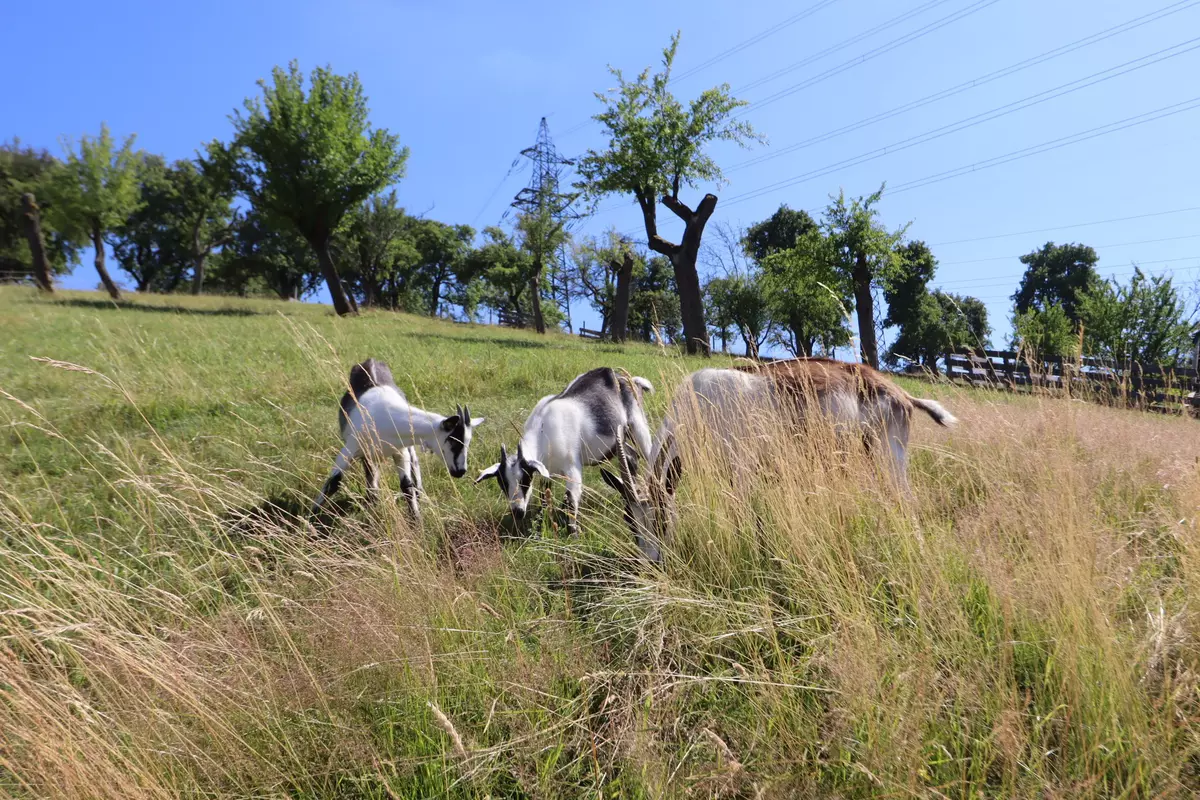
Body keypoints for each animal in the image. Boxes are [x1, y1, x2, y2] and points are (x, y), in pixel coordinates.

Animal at [311, 358, 484, 519]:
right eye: (454, 440)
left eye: (467, 442)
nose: (460, 471)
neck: (385, 417)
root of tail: (370, 360)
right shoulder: (351, 448)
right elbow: (334, 482)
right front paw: (310, 518)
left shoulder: (400, 451)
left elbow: (406, 485)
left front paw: (416, 519)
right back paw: (373, 498)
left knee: (413, 462)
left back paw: (416, 492)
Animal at [474, 367, 654, 536]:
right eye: (503, 483)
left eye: (525, 479)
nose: (517, 511)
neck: (543, 429)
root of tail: (628, 379)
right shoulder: (546, 471)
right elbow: (544, 498)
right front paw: (539, 526)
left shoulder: (573, 469)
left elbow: (571, 501)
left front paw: (574, 534)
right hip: (619, 441)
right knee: (631, 456)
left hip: (638, 426)